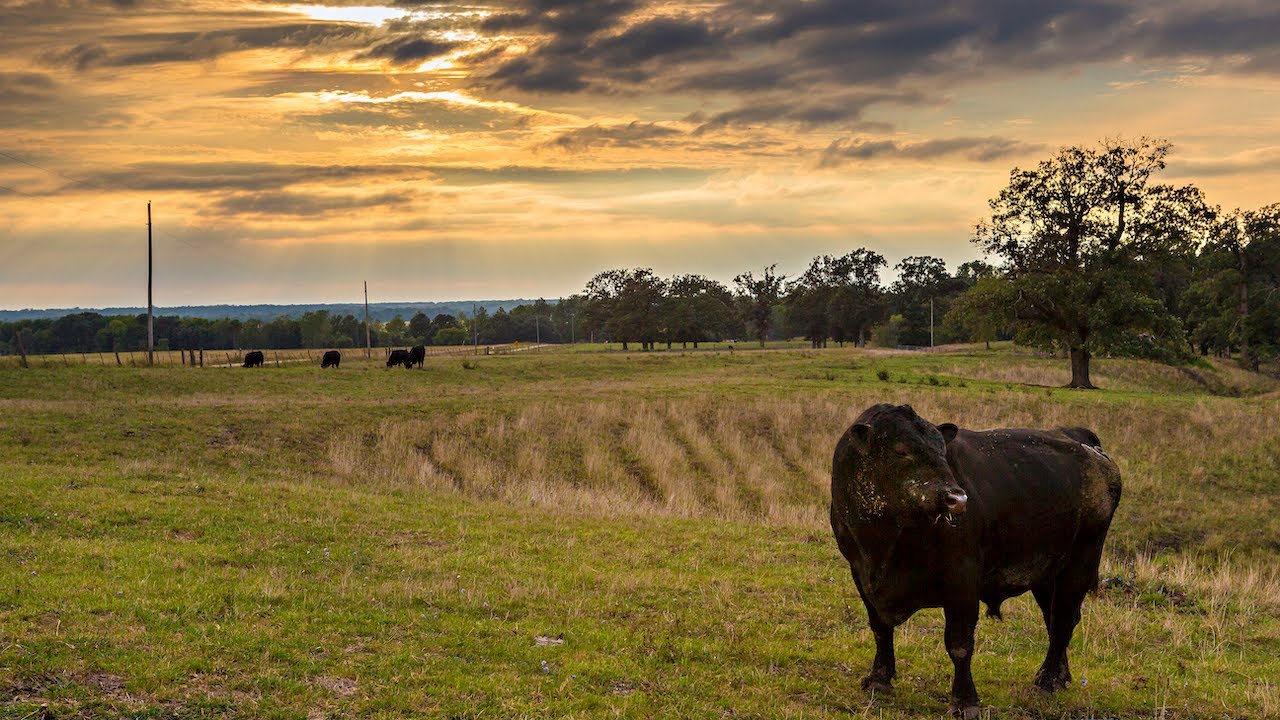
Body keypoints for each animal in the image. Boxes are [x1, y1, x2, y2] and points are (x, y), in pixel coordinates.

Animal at [830, 403, 1121, 718]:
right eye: (900, 450)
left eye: (942, 450)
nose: (956, 498)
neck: (884, 544)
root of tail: (1083, 441)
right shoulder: (860, 574)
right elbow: (880, 629)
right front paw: (879, 679)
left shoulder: (962, 581)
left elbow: (959, 645)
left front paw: (964, 700)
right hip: (1047, 573)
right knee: (1055, 619)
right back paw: (1058, 677)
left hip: (1080, 563)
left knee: (1063, 621)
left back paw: (1045, 683)